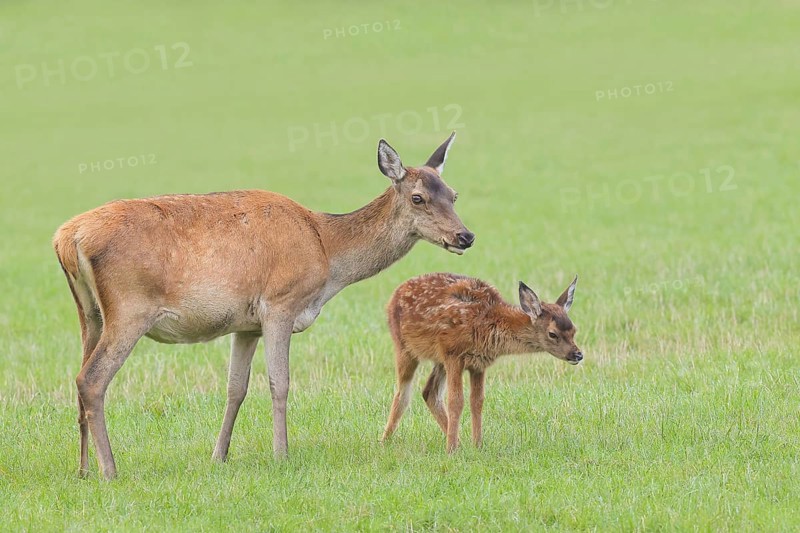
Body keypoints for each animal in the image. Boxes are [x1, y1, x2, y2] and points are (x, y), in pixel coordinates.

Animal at [52, 133, 474, 479]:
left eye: (453, 194)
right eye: (418, 197)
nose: (465, 236)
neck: (326, 250)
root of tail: (67, 238)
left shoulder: (245, 324)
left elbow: (235, 388)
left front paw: (219, 456)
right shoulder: (279, 304)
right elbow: (279, 382)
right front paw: (282, 455)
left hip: (89, 312)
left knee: (79, 377)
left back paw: (83, 468)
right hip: (129, 309)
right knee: (91, 379)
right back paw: (110, 470)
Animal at [381, 273, 581, 453]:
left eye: (574, 330)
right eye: (552, 334)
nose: (577, 354)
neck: (489, 321)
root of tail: (393, 296)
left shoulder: (478, 363)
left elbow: (477, 401)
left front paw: (477, 446)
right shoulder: (453, 354)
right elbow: (456, 401)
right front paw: (450, 450)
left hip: (439, 360)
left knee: (429, 392)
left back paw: (459, 442)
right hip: (404, 347)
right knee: (403, 393)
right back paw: (384, 441)